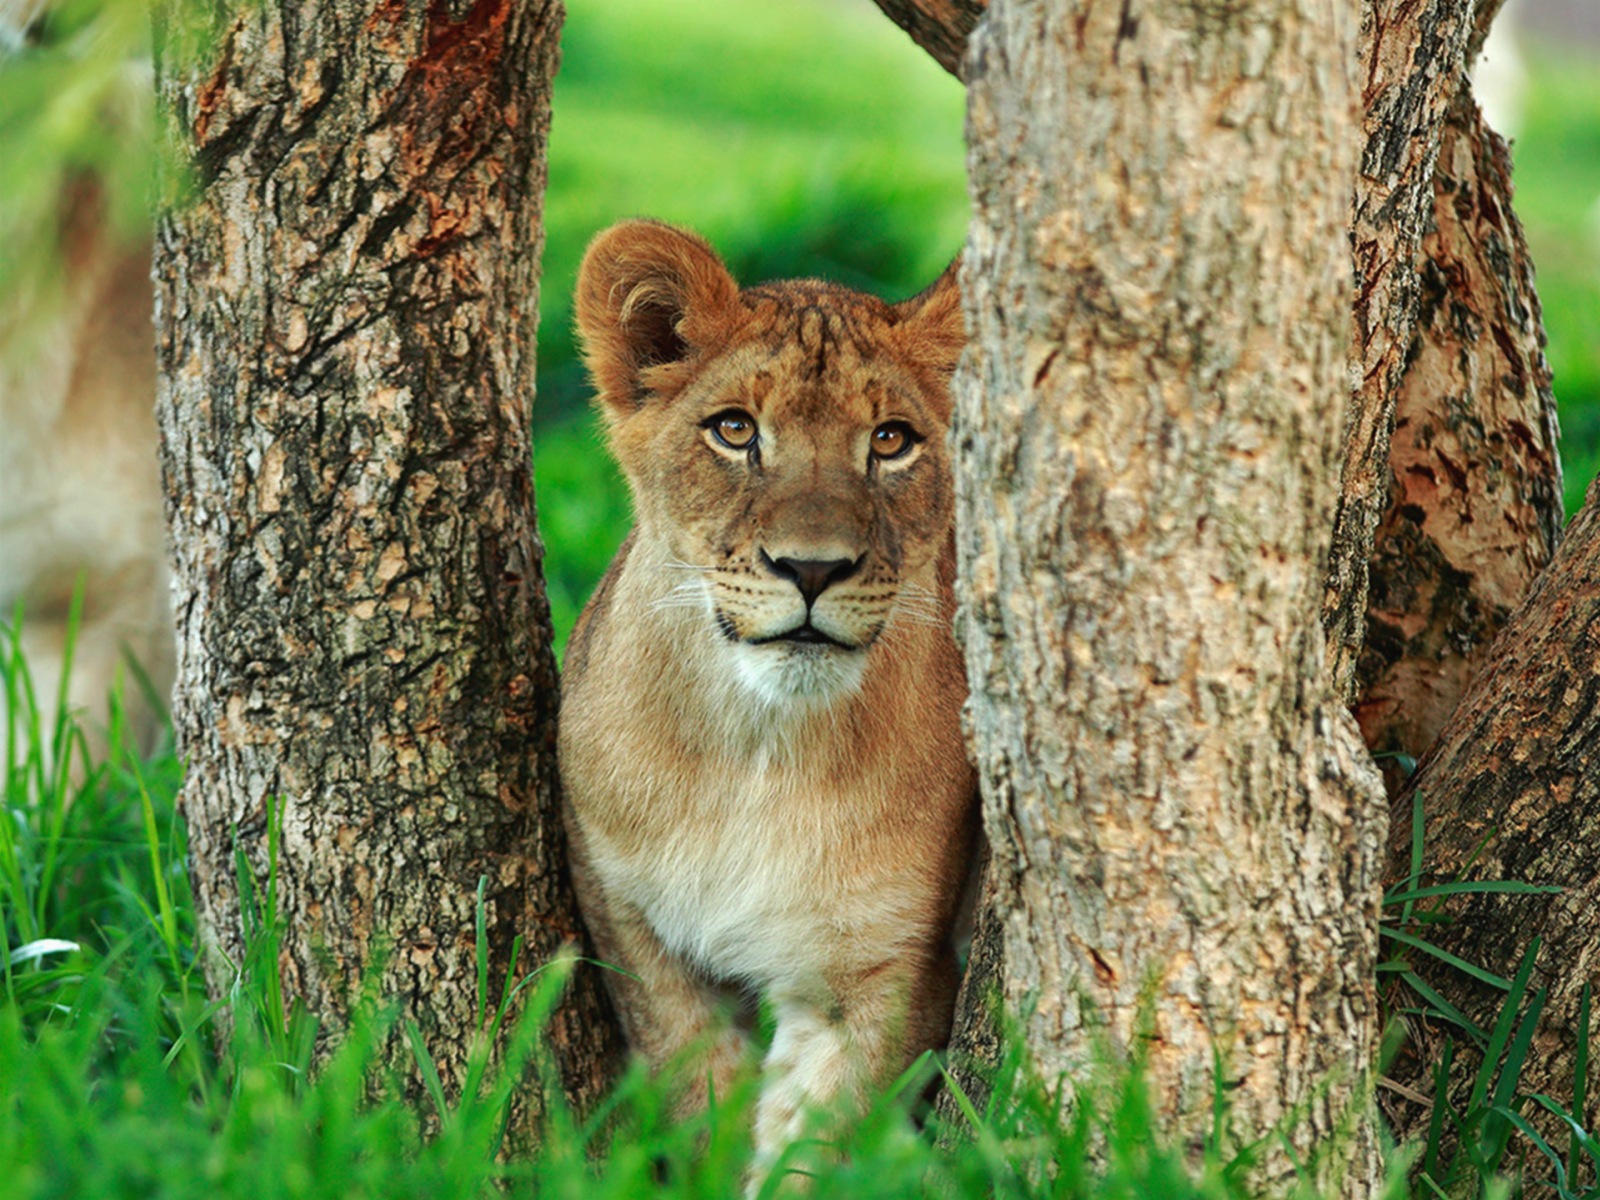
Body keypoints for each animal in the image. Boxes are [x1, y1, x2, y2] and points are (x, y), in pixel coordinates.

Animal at [558, 220, 977, 1184]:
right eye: (735, 430)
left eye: (891, 440)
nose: (812, 569)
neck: (760, 750)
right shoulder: (639, 933)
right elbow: (700, 1104)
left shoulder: (885, 971)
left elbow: (815, 1144)